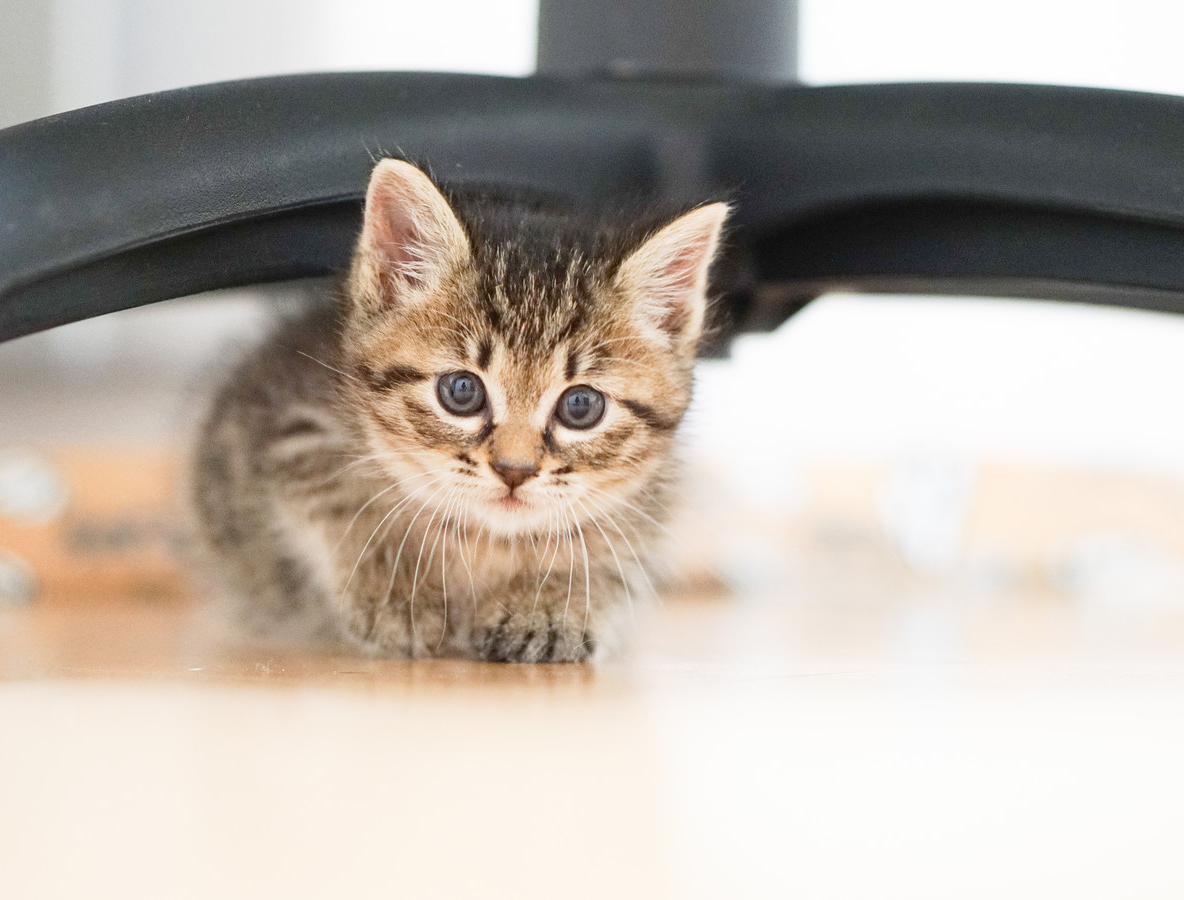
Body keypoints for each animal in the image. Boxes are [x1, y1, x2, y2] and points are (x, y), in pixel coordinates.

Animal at [189, 159, 724, 663]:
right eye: (461, 391)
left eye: (581, 405)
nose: (514, 470)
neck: (484, 540)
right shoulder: (286, 423)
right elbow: (340, 496)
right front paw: (397, 590)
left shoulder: (647, 504)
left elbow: (614, 549)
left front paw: (549, 602)